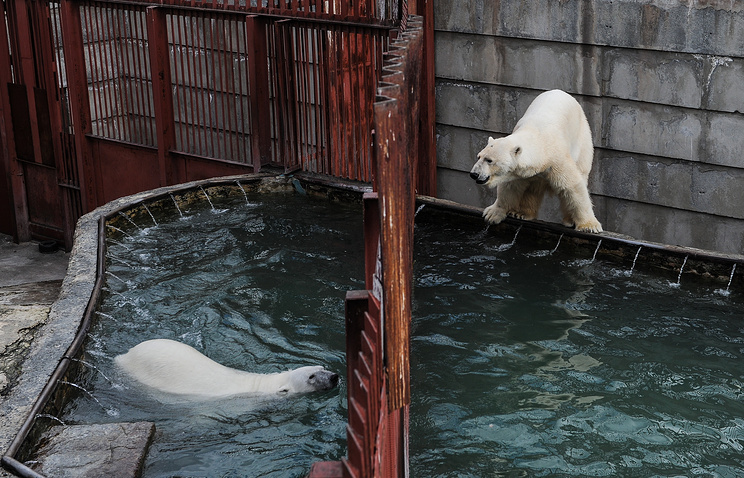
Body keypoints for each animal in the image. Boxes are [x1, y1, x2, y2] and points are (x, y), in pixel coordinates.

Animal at [470, 89, 604, 233]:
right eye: (479, 156)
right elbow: (509, 187)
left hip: (582, 138)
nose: (474, 174)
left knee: (582, 172)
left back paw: (569, 220)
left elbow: (572, 186)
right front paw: (492, 214)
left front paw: (589, 226)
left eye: (489, 160)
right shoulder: (519, 172)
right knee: (533, 188)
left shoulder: (557, 159)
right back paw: (521, 213)